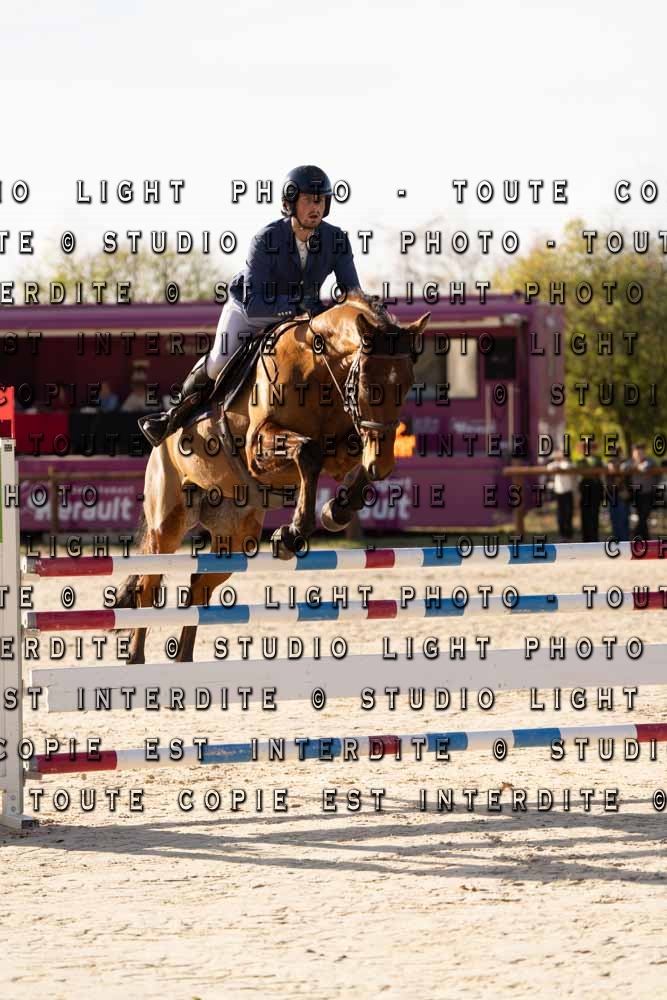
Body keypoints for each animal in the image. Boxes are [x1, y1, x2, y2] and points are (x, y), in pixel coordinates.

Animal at [117, 292, 430, 663]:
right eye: (369, 385)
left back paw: (183, 660)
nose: (383, 464)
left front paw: (336, 511)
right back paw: (136, 659)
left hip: (238, 536)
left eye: (407, 384)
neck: (318, 367)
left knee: (198, 588)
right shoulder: (258, 447)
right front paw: (293, 534)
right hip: (167, 522)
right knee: (147, 587)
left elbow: (344, 457)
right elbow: (308, 452)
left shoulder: (343, 446)